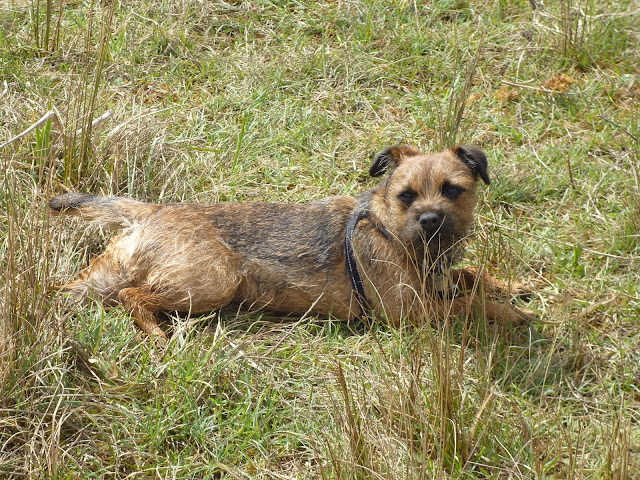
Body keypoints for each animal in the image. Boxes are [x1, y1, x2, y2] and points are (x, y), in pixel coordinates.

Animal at [48, 144, 528, 340]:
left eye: (452, 190)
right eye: (406, 195)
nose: (430, 219)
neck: (389, 228)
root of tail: (152, 211)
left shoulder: (435, 282)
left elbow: (470, 276)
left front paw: (510, 286)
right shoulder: (414, 312)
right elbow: (468, 304)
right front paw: (508, 313)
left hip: (114, 273)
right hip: (212, 281)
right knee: (132, 296)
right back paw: (156, 331)